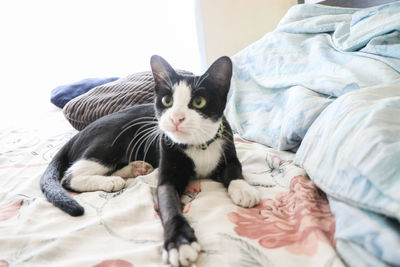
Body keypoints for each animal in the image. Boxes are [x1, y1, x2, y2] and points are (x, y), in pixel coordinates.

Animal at [39, 55, 260, 267]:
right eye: (167, 100)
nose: (176, 118)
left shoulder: (228, 148)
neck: (197, 144)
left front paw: (244, 189)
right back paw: (110, 181)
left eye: (199, 102)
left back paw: (134, 169)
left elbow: (234, 169)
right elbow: (169, 206)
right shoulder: (167, 167)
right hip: (111, 139)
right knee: (69, 177)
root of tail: (77, 135)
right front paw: (179, 243)